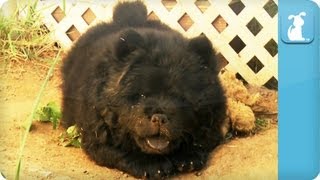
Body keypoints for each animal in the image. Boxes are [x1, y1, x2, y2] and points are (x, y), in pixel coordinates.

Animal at [61, 1, 226, 179]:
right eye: (141, 95)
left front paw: (187, 157)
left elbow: (200, 140)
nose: (159, 117)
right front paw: (153, 166)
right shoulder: (98, 137)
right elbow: (121, 151)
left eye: (181, 98)